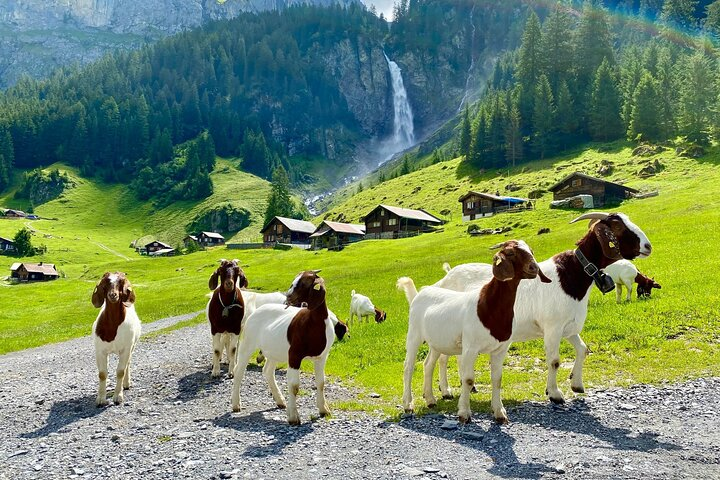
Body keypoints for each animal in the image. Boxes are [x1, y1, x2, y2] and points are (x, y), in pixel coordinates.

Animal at [91, 272, 141, 407]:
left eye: (121, 283)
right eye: (106, 283)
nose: (113, 295)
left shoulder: (126, 349)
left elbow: (120, 371)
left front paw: (118, 396)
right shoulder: (100, 351)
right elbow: (102, 374)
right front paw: (100, 399)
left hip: (132, 346)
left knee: (127, 364)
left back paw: (126, 384)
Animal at [231, 271, 346, 425]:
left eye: (303, 284)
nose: (287, 297)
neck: (313, 324)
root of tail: (257, 310)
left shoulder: (322, 357)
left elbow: (321, 382)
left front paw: (324, 410)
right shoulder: (294, 356)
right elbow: (294, 385)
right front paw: (293, 417)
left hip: (273, 351)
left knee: (267, 371)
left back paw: (280, 401)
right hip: (248, 343)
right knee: (238, 371)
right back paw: (236, 405)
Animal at [397, 240, 551, 424]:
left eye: (531, 251)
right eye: (510, 253)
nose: (534, 267)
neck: (488, 306)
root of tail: (419, 294)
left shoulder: (501, 349)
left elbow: (497, 379)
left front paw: (500, 413)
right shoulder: (470, 347)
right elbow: (468, 379)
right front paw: (464, 413)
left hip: (437, 342)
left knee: (428, 365)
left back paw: (430, 400)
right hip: (414, 334)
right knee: (408, 367)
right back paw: (408, 404)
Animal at [432, 212, 652, 404]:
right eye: (617, 225)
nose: (648, 246)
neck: (570, 274)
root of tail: (446, 278)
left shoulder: (568, 327)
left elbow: (582, 349)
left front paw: (576, 384)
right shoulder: (553, 327)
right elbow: (554, 360)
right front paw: (554, 393)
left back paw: (464, 388)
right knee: (442, 358)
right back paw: (446, 391)